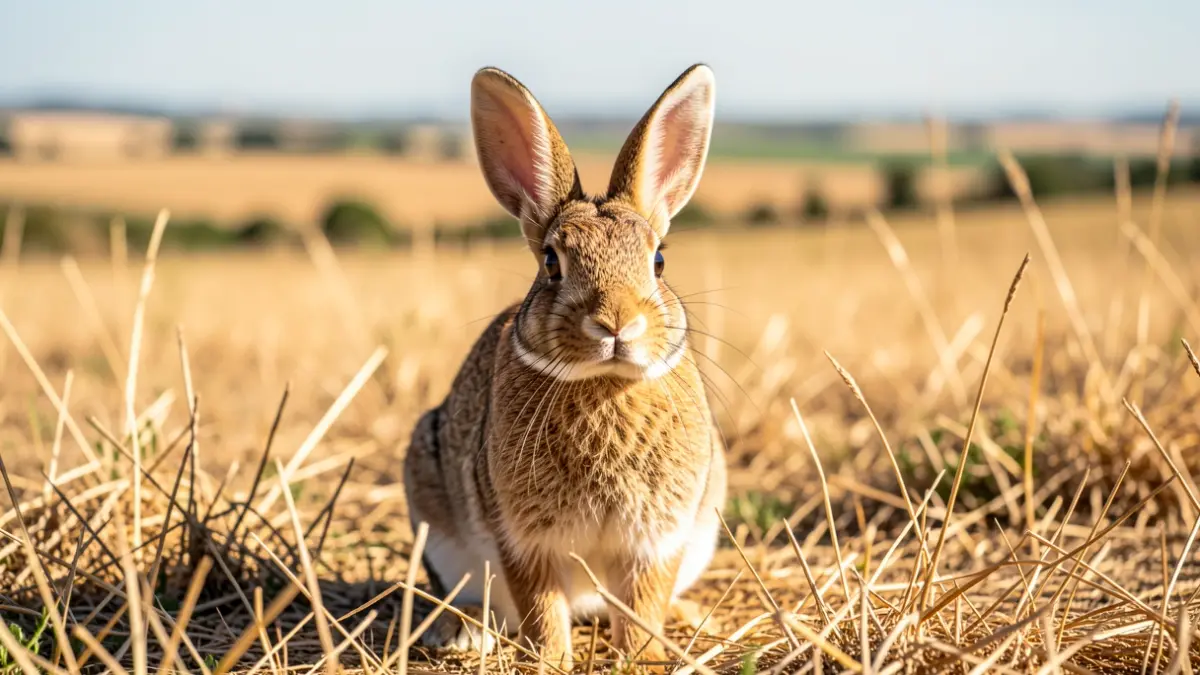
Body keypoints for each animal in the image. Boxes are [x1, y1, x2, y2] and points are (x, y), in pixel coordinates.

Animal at [402, 62, 727, 671]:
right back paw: (459, 633)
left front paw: (643, 657)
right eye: (552, 262)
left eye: (658, 260)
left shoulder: (657, 541)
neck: (604, 384)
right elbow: (541, 606)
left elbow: (643, 604)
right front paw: (552, 659)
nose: (617, 323)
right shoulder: (525, 539)